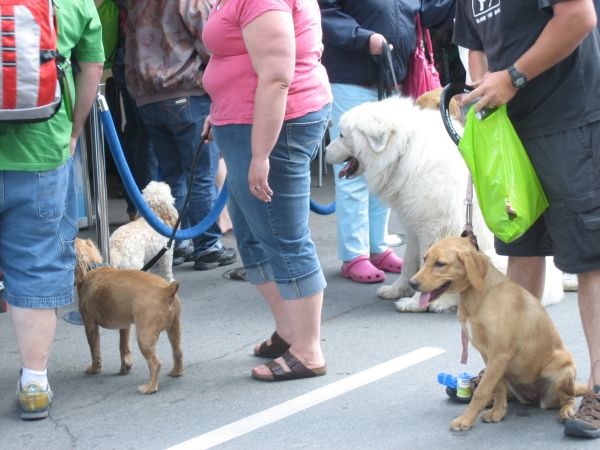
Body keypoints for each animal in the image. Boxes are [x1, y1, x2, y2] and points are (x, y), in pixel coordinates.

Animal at [74, 239, 183, 394]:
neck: (92, 268)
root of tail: (166, 290)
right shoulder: (125, 326)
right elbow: (123, 346)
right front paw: (125, 367)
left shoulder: (90, 326)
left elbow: (95, 351)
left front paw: (95, 368)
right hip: (174, 329)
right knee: (178, 352)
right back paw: (176, 372)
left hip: (144, 337)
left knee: (156, 363)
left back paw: (149, 387)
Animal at [324, 95, 564, 312]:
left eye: (342, 135)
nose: (324, 151)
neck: (404, 150)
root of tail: (555, 291)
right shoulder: (414, 225)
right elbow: (409, 262)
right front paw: (398, 289)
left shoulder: (435, 227)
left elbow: (428, 266)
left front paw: (416, 302)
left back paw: (442, 303)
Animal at [410, 237, 584, 430]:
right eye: (425, 259)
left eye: (440, 263)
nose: (412, 283)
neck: (480, 297)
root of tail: (535, 397)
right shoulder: (490, 357)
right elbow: (497, 387)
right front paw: (498, 412)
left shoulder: (499, 355)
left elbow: (481, 391)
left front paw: (465, 419)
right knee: (509, 393)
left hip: (563, 368)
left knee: (568, 398)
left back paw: (567, 411)